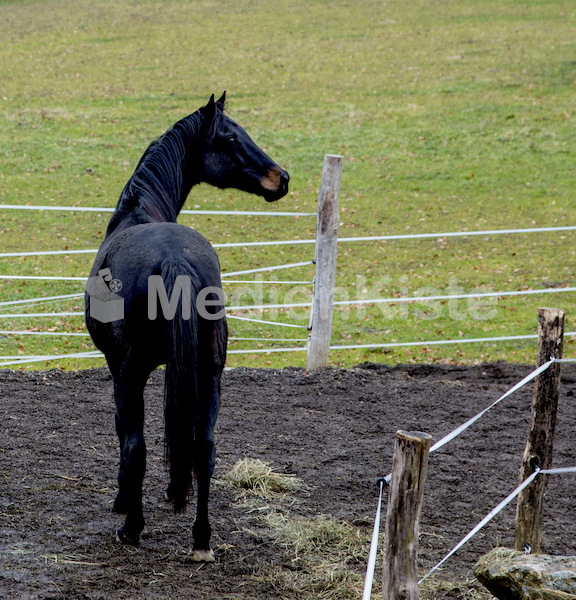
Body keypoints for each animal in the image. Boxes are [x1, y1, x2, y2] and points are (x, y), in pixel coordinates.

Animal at [85, 91, 290, 560]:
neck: (137, 213)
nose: (282, 178)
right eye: (231, 137)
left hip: (131, 373)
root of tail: (173, 259)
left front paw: (122, 499)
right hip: (209, 370)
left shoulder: (118, 371)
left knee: (137, 447)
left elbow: (124, 435)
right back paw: (201, 538)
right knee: (204, 448)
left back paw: (131, 527)